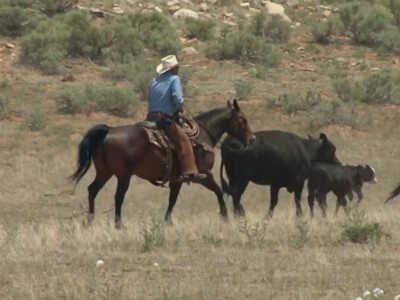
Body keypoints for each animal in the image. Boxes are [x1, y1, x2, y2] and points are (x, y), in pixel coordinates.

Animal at [70, 99, 255, 226]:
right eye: (243, 119)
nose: (252, 139)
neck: (202, 136)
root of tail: (108, 131)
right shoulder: (203, 175)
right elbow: (218, 191)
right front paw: (224, 216)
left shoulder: (177, 179)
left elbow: (172, 200)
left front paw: (167, 222)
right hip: (123, 176)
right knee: (118, 197)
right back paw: (118, 224)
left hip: (104, 172)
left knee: (92, 190)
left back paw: (89, 220)